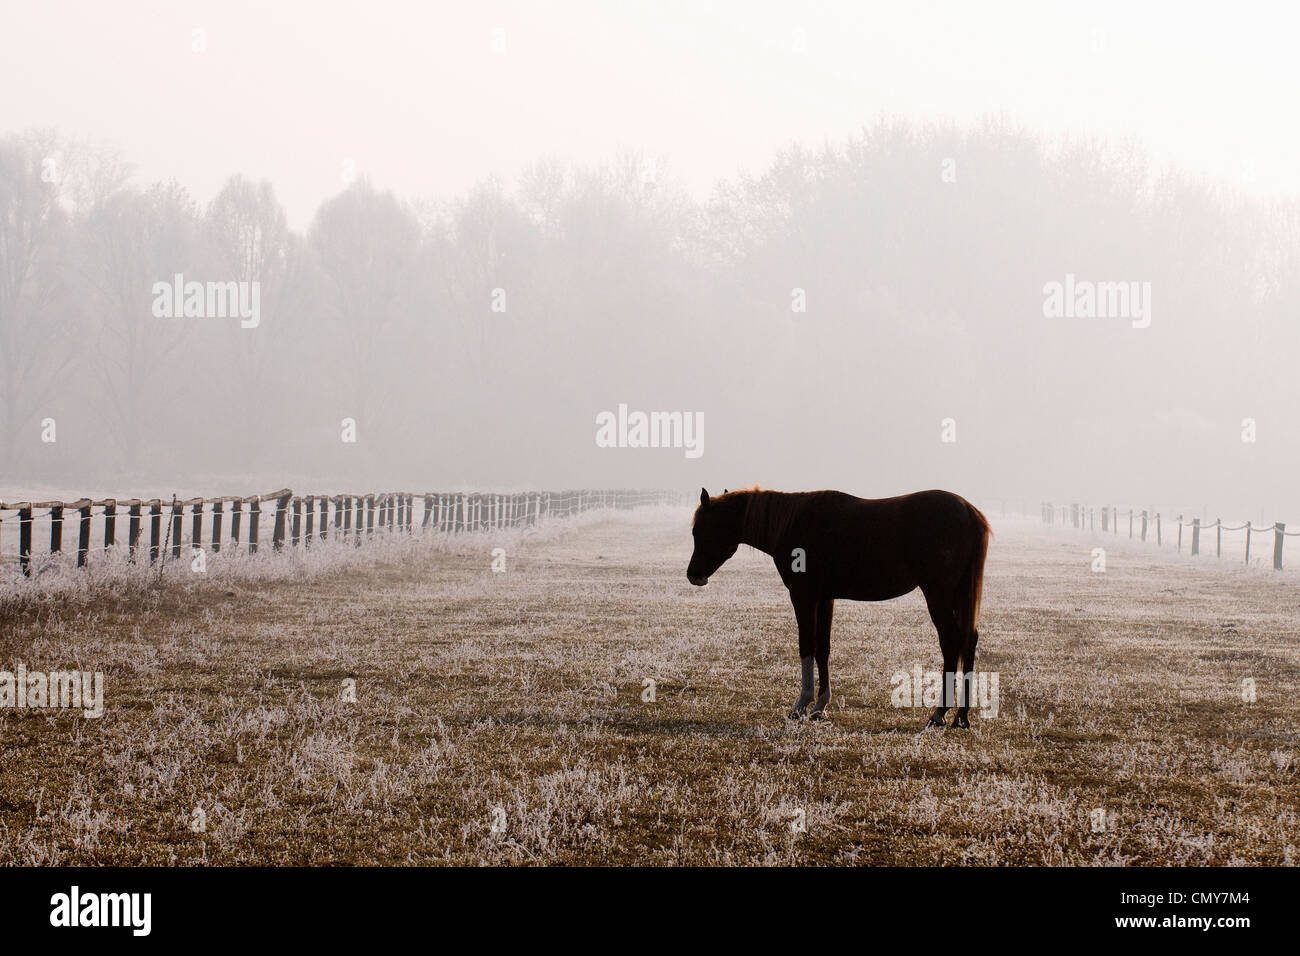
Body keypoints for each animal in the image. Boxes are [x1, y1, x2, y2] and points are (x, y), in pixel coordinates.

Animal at [686, 489, 987, 728]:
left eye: (700, 530)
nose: (693, 575)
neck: (792, 523)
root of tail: (968, 511)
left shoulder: (803, 596)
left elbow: (806, 645)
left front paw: (801, 705)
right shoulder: (824, 599)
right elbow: (823, 648)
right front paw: (820, 706)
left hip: (938, 593)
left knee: (951, 642)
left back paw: (939, 713)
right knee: (968, 640)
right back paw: (961, 715)